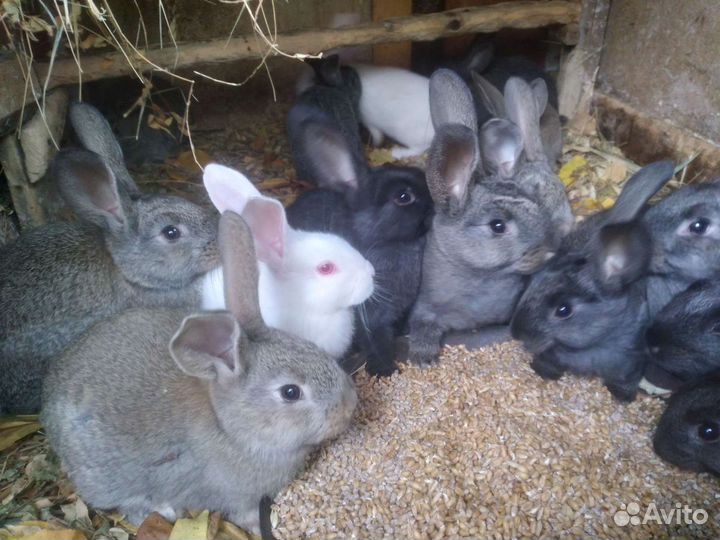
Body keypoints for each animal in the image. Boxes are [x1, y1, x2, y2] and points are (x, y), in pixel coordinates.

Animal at [41, 211, 358, 534]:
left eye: (312, 346)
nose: (350, 405)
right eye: (291, 392)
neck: (230, 427)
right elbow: (243, 513)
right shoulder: (236, 497)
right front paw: (259, 528)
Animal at [406, 69, 563, 366]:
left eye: (534, 201)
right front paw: (423, 355)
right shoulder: (424, 308)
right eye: (497, 225)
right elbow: (424, 324)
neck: (478, 278)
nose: (551, 250)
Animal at [510, 160, 676, 402]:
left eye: (563, 310)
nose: (516, 333)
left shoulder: (631, 359)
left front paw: (622, 396)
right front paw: (543, 371)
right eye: (531, 282)